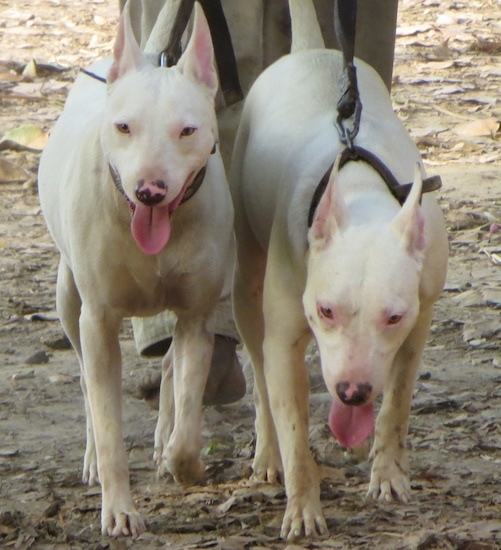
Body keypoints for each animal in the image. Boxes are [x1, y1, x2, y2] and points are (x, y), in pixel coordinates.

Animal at [37, 2, 232, 540]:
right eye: (124, 127)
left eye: (187, 130)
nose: (149, 191)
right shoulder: (99, 321)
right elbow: (107, 422)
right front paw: (119, 508)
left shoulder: (196, 316)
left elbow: (187, 409)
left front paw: (182, 461)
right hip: (68, 298)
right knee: (86, 382)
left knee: (168, 369)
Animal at [229, 0, 448, 544]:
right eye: (325, 311)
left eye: (393, 317)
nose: (351, 391)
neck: (359, 192)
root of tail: (313, 50)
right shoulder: (285, 339)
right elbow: (292, 426)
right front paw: (303, 510)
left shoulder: (418, 324)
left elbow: (396, 405)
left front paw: (388, 474)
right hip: (247, 273)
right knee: (258, 375)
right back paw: (267, 455)